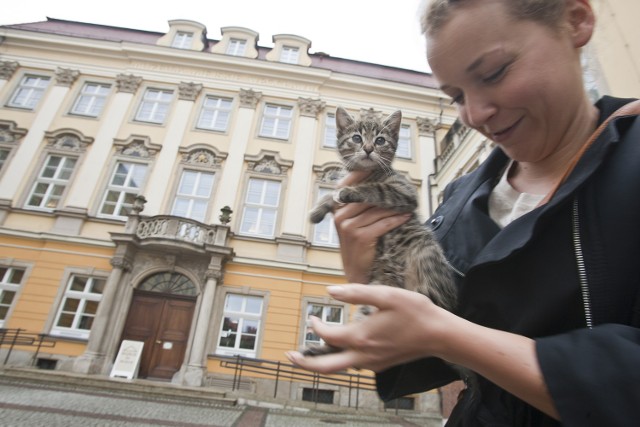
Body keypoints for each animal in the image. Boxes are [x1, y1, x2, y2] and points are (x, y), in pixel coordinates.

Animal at [306, 106, 460, 354]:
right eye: (356, 138)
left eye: (380, 140)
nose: (368, 149)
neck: (367, 172)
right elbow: (330, 195)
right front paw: (317, 210)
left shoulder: (404, 191)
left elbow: (375, 188)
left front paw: (349, 192)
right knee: (353, 341)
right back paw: (318, 350)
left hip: (425, 255)